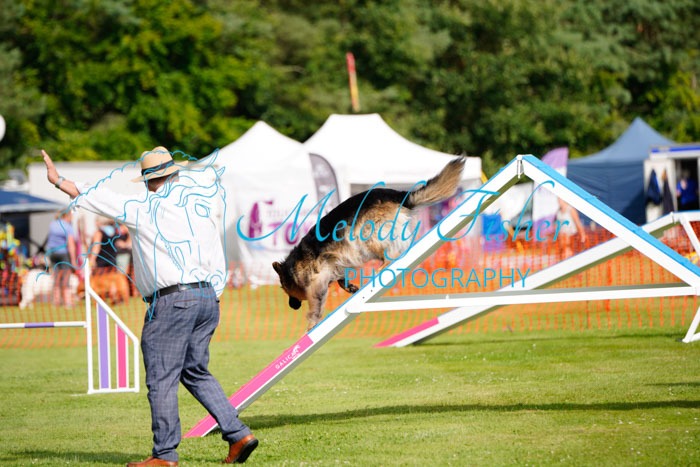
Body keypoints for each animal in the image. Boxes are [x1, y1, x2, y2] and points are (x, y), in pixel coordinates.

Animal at [272, 157, 465, 330]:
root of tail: (398, 194)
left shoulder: (317, 281)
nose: (292, 306)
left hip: (366, 235)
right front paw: (350, 287)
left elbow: (316, 303)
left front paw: (312, 324)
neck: (294, 266)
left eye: (285, 290)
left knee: (391, 255)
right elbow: (340, 279)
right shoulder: (333, 266)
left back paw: (380, 270)